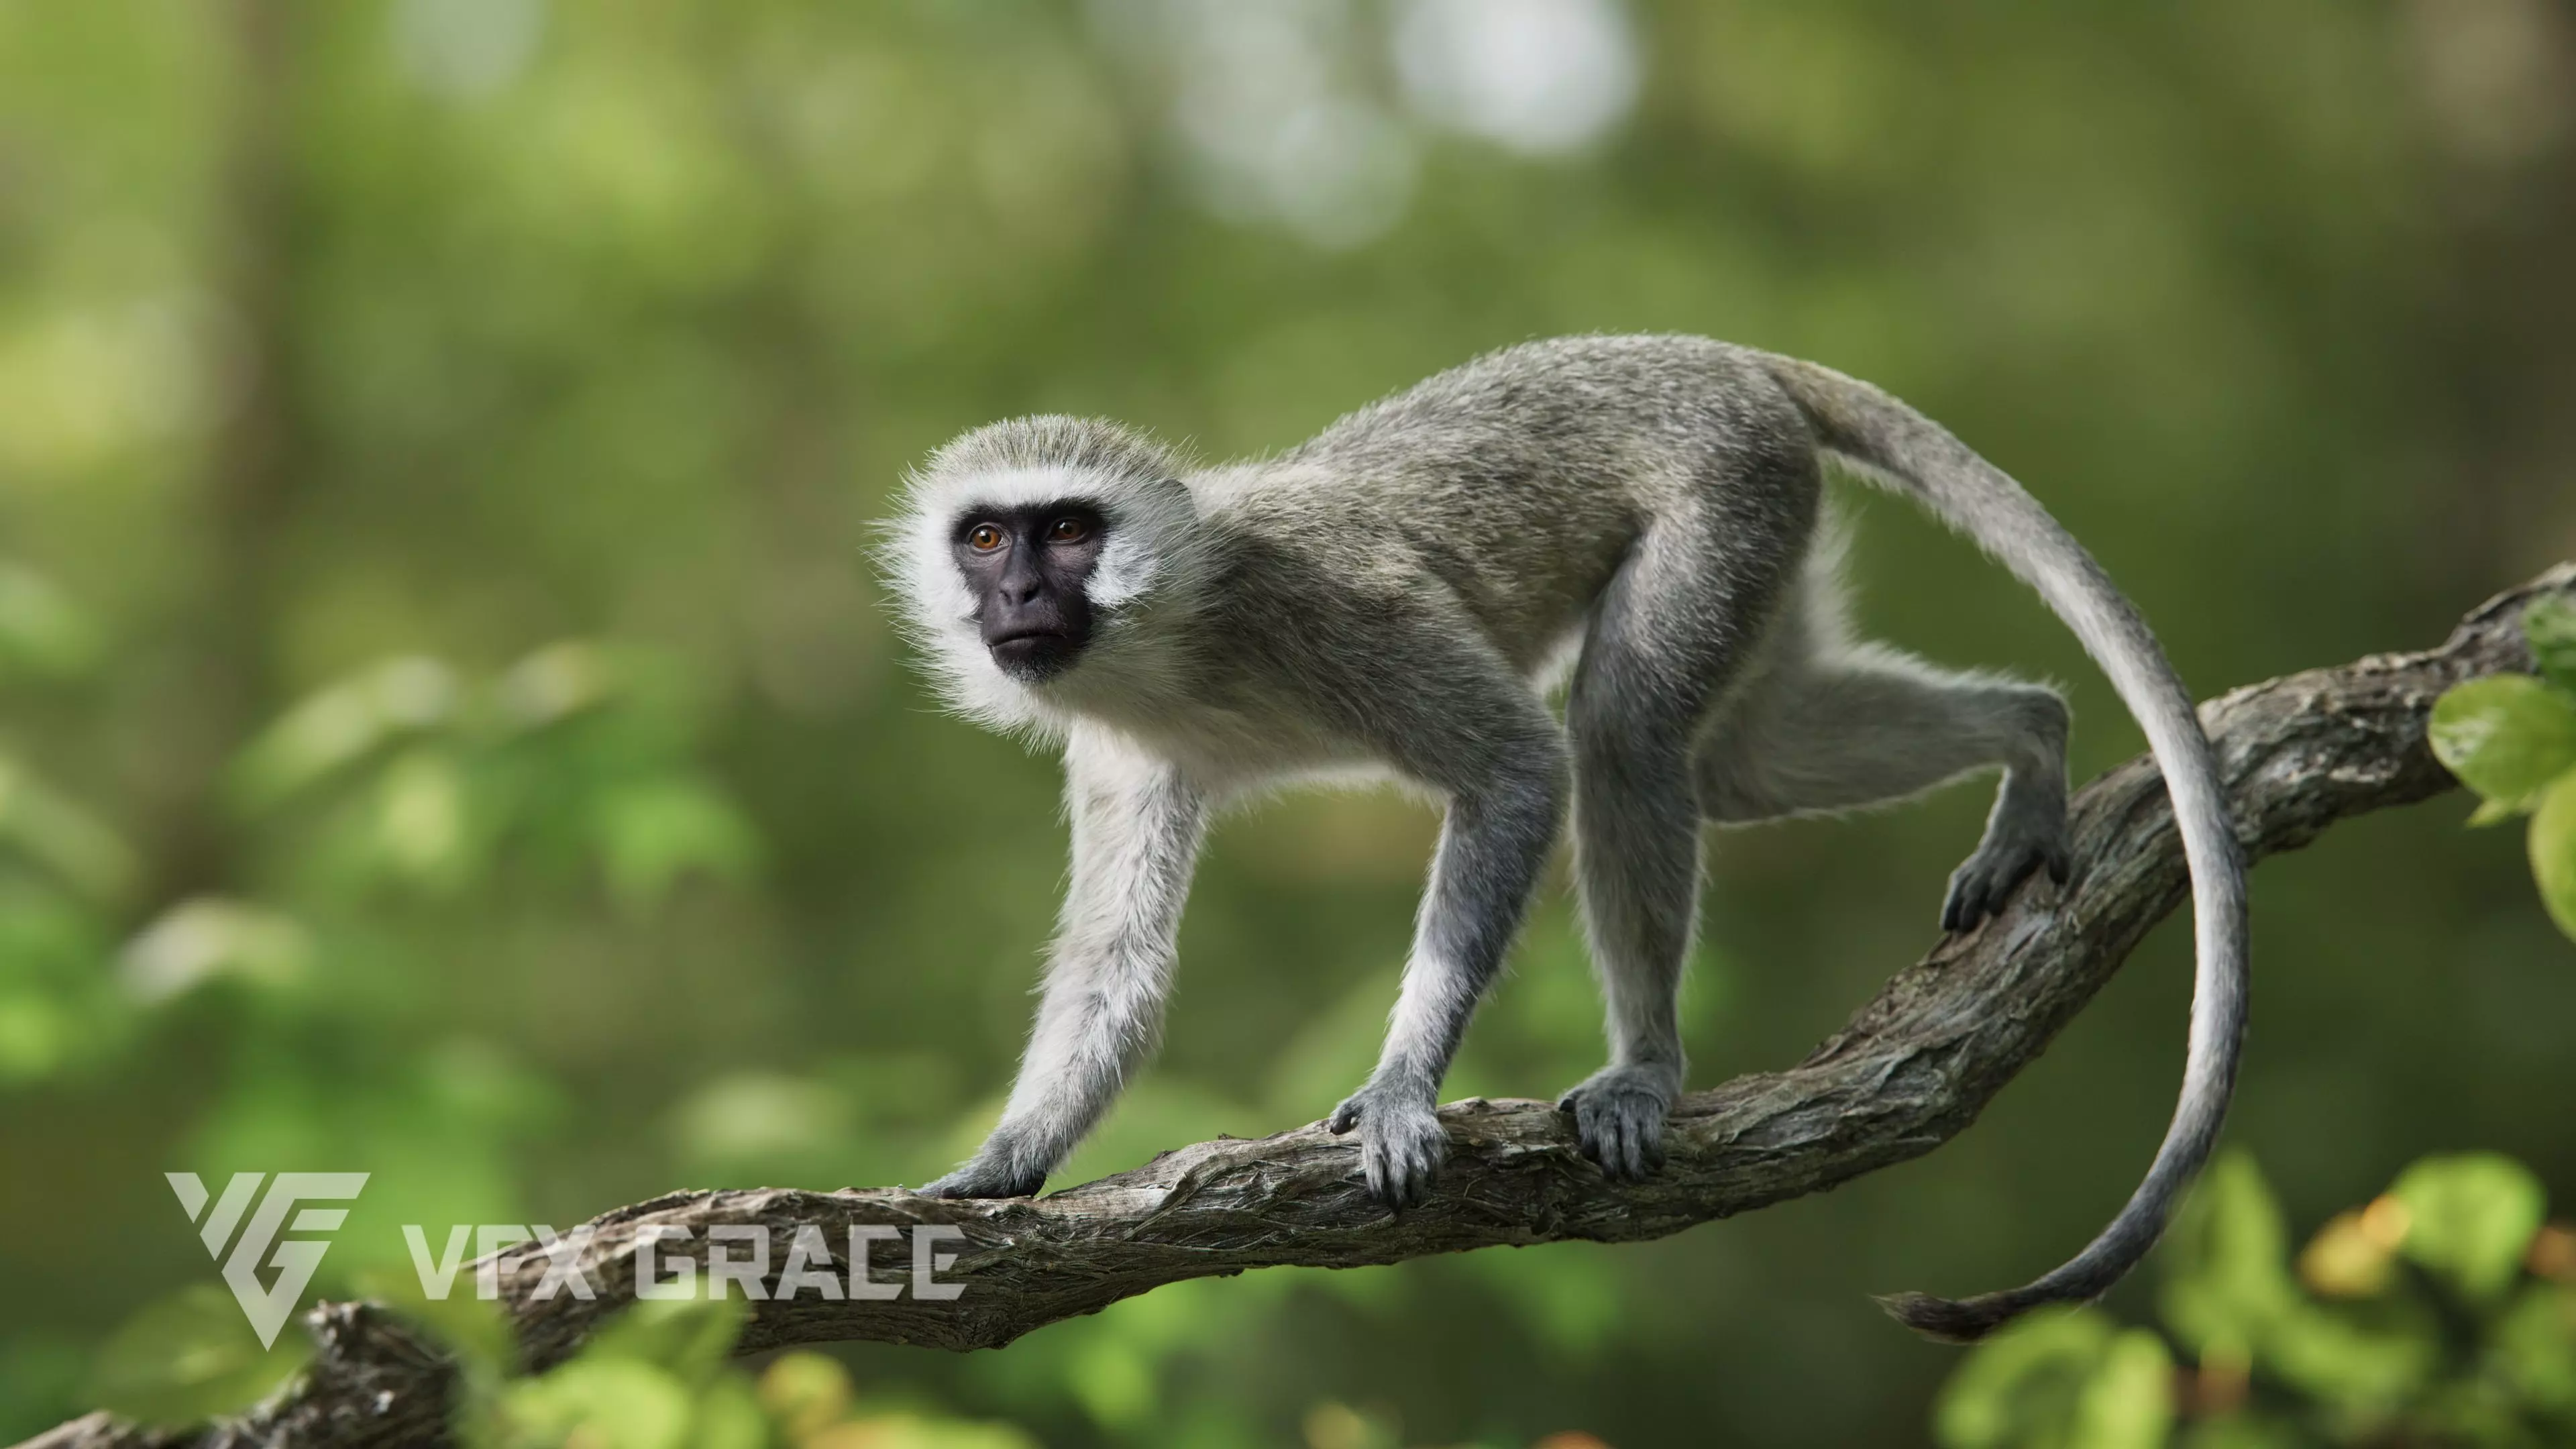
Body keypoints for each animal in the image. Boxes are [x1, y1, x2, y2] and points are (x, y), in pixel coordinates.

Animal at [883, 335, 2247, 1341]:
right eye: (988, 537)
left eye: (1069, 530)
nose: (1019, 595)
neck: (1174, 631)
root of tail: (1718, 356)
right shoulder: (1119, 752)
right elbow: (1118, 961)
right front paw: (1002, 1166)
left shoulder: (1333, 604)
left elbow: (1519, 768)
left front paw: (1403, 1086)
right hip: (1772, 540)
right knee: (1746, 761)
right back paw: (2032, 735)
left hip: (1728, 504)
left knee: (1625, 734)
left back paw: (1649, 1064)